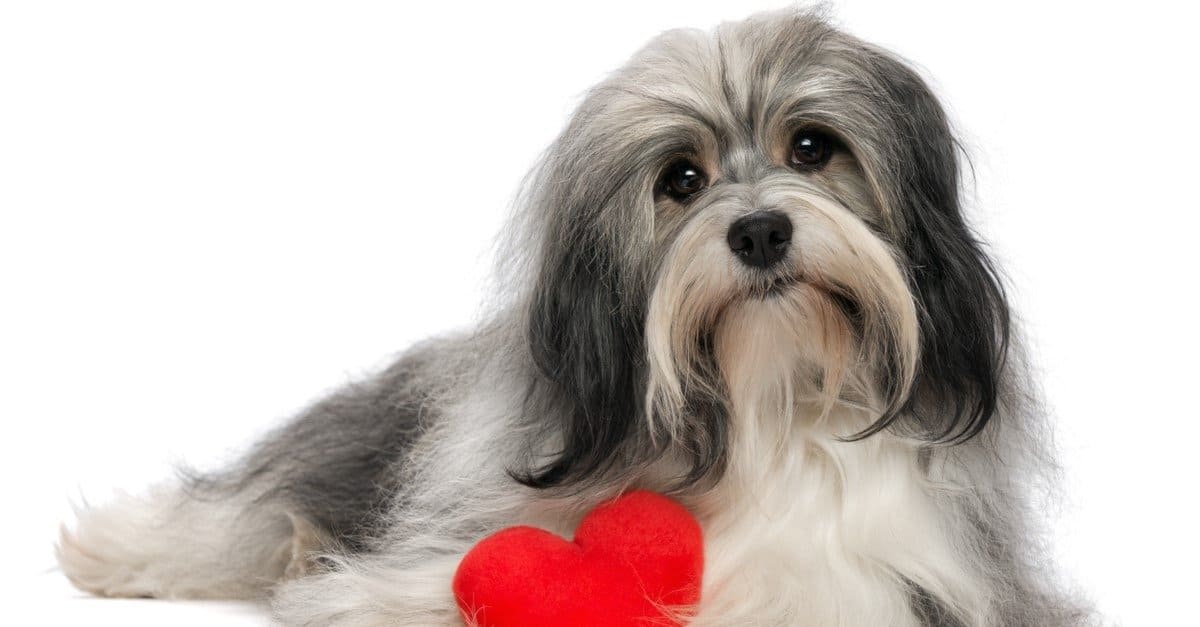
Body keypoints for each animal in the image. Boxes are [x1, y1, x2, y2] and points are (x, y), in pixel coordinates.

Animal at [60, 9, 1099, 624]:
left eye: (812, 146)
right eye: (680, 179)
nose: (761, 230)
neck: (766, 406)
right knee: (251, 505)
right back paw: (118, 550)